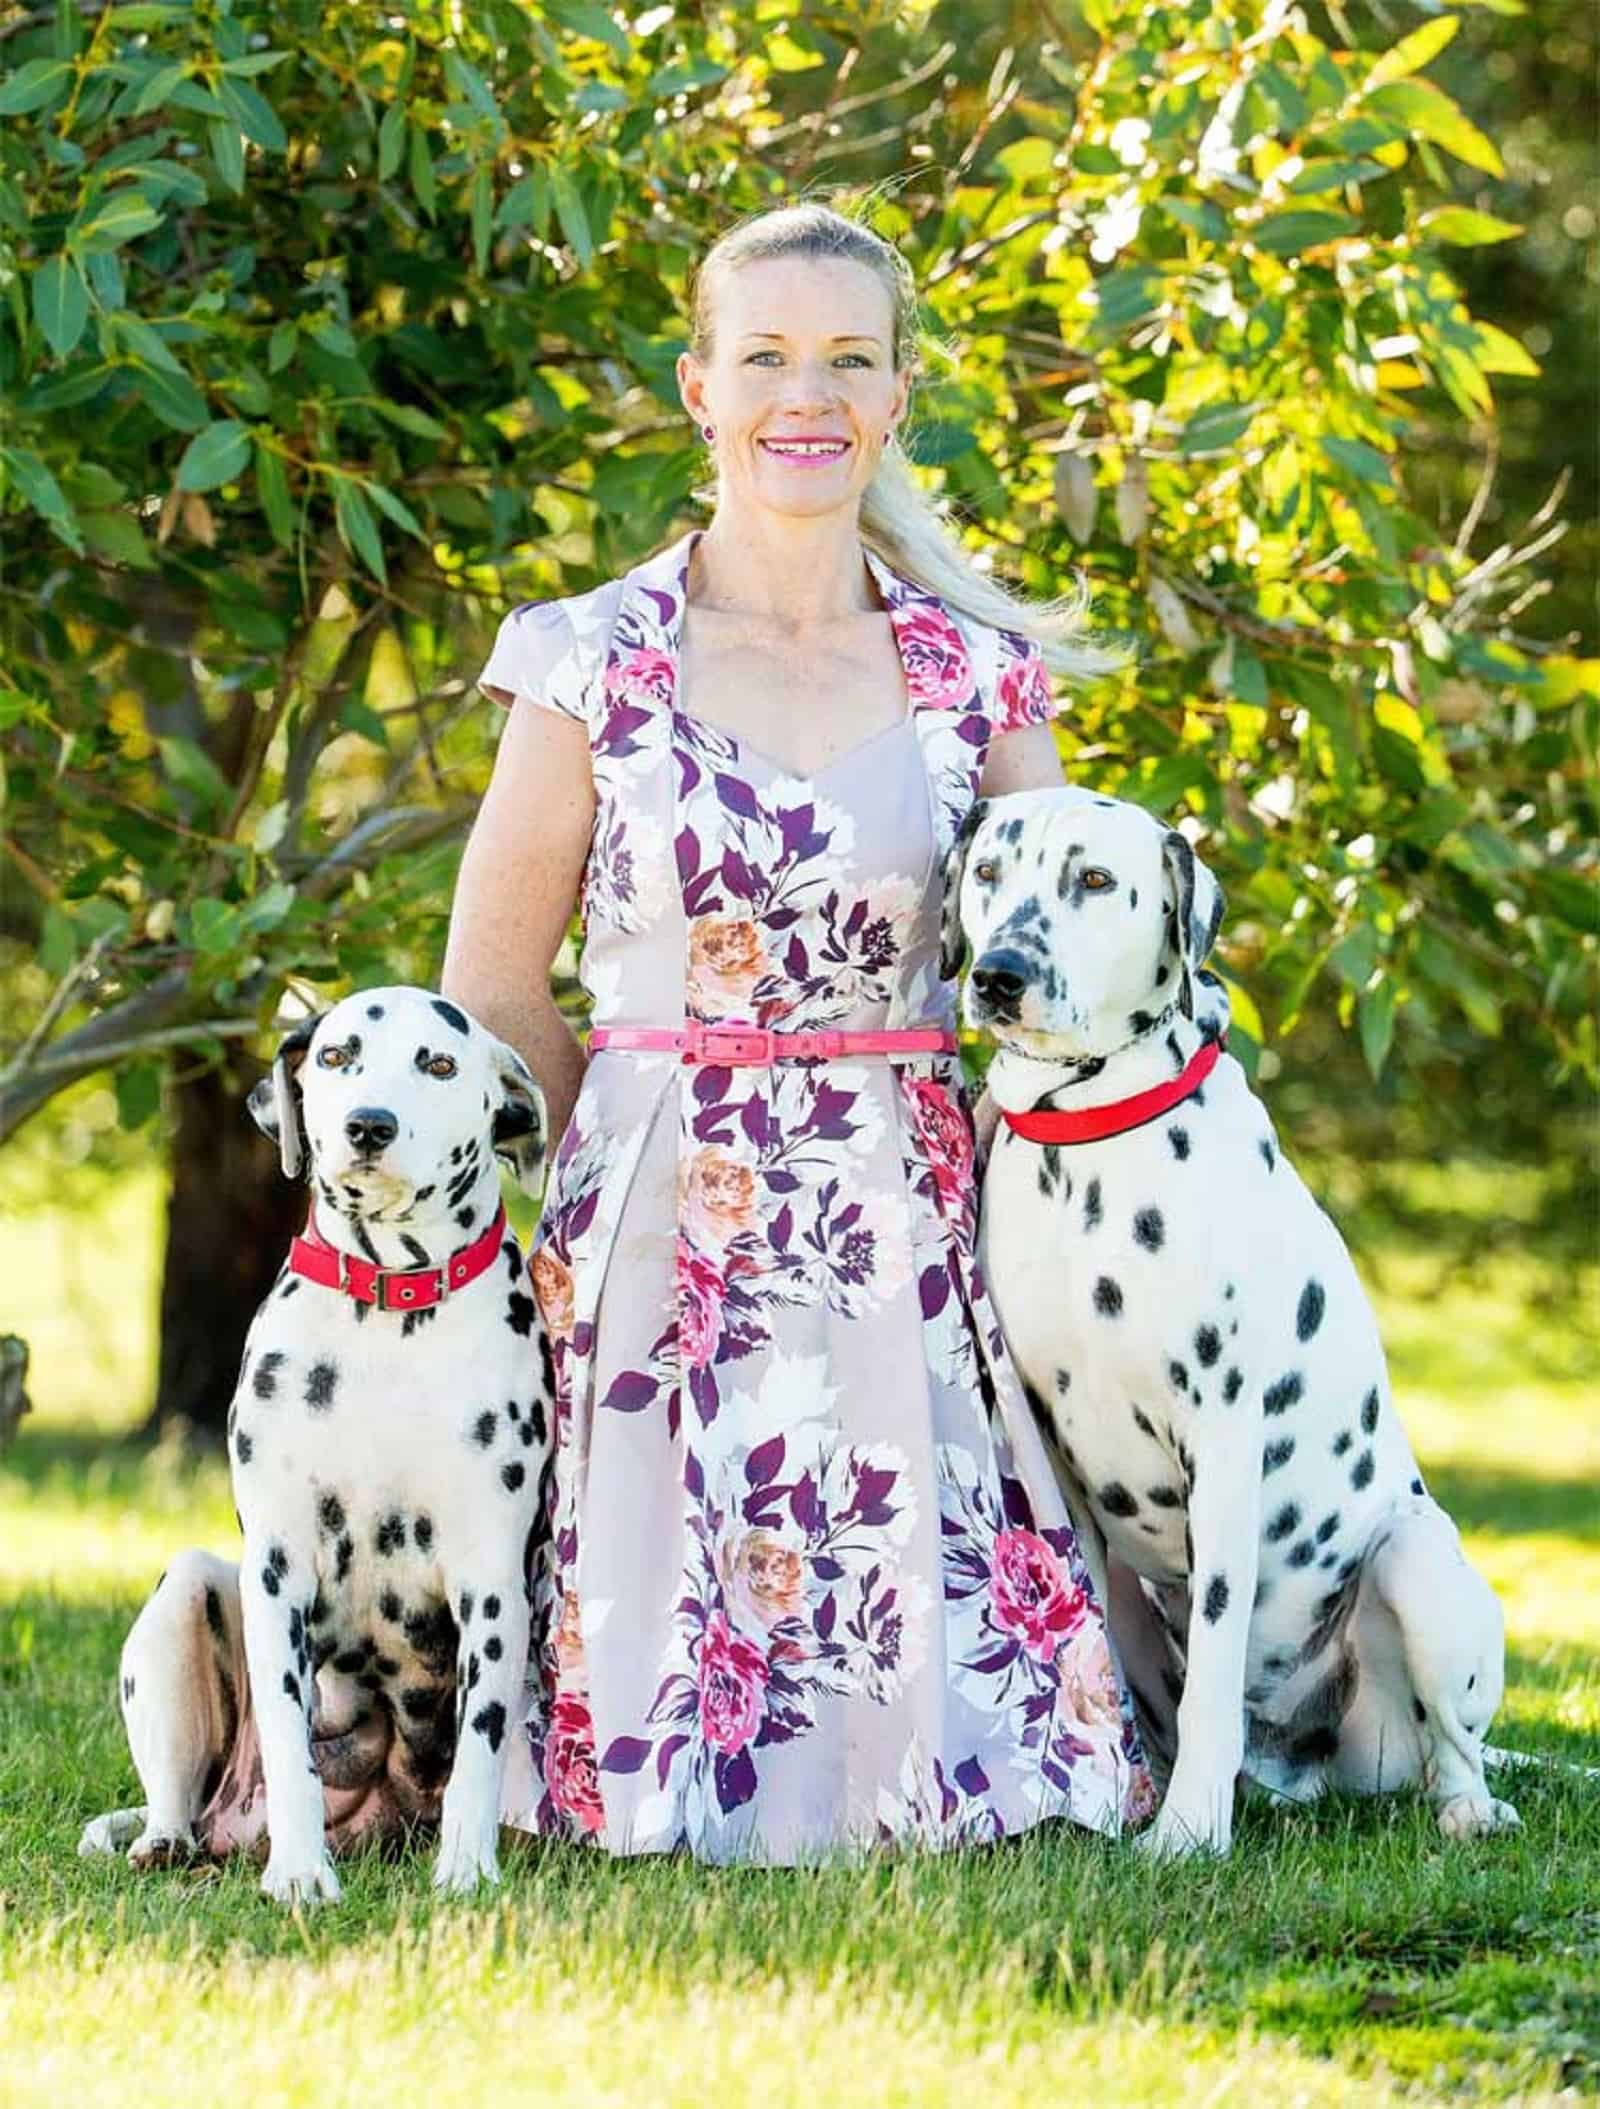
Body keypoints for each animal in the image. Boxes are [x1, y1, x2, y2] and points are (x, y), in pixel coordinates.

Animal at [82, 987, 556, 1914]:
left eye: (438, 1062)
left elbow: (482, 1750)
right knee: (175, 1798)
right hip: (184, 1594)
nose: (369, 1125)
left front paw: (467, 1869)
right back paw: (166, 1840)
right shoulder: (276, 1569)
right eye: (337, 1055)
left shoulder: (491, 1582)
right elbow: (289, 1736)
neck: (390, 1310)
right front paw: (300, 1873)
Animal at [944, 792, 1517, 1864]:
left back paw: (1466, 1806)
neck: (1092, 1145)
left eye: (1093, 879)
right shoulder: (1057, 1450)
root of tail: (1308, 1763)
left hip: (1417, 1562)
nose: (999, 974)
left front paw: (1188, 1830)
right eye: (990, 872)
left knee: (1453, 1751)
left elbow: (1214, 1664)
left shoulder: (1221, 1438)